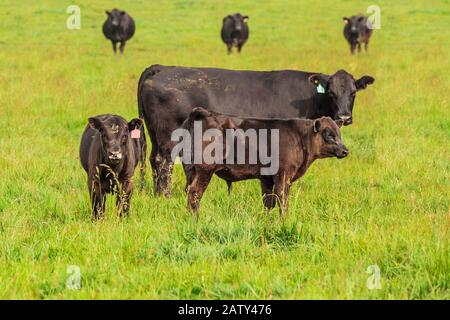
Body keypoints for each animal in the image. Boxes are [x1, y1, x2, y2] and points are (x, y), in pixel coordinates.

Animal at [137, 64, 376, 196]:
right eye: (331, 92)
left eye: (353, 92)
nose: (343, 117)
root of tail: (162, 68)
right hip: (169, 137)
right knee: (164, 163)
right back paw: (165, 196)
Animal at [179, 107, 348, 215]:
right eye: (329, 135)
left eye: (339, 134)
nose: (345, 151)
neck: (300, 137)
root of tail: (204, 113)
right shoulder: (283, 176)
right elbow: (283, 201)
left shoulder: (266, 178)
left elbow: (268, 203)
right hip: (205, 170)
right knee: (195, 194)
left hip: (192, 170)